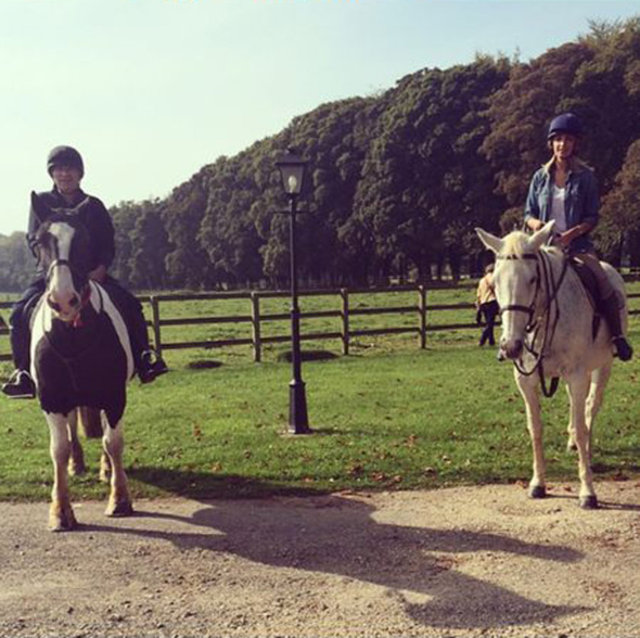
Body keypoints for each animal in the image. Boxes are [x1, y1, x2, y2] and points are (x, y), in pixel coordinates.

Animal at [29, 191, 134, 530]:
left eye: (85, 241)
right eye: (39, 241)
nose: (63, 300)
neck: (73, 335)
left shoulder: (114, 394)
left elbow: (113, 442)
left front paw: (120, 499)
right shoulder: (52, 399)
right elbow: (58, 449)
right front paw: (61, 511)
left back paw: (106, 469)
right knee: (72, 431)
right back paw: (78, 464)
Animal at [476, 221, 629, 509]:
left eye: (532, 279)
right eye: (496, 280)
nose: (510, 346)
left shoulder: (578, 375)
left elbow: (581, 428)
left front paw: (587, 492)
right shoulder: (526, 381)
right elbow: (535, 429)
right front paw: (538, 484)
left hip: (602, 367)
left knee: (591, 406)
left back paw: (586, 450)